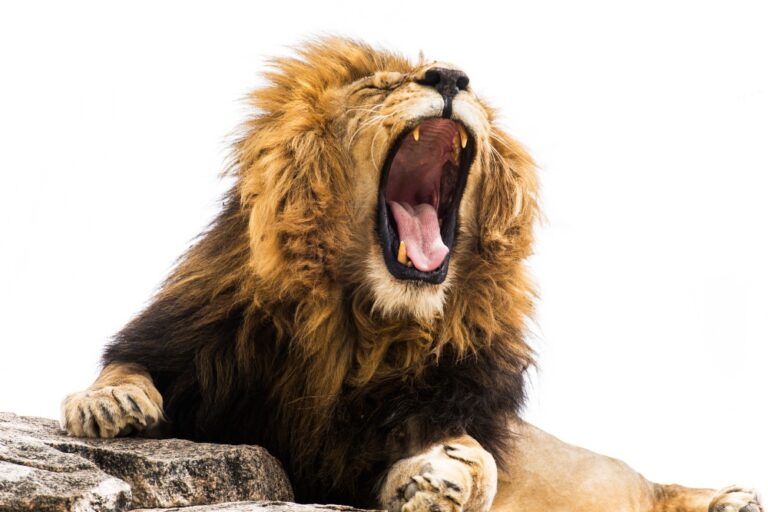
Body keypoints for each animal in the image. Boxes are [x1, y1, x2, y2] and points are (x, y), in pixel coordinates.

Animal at [61, 38, 761, 512]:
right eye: (378, 88)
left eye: (469, 87)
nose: (450, 76)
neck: (363, 320)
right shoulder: (197, 342)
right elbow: (128, 363)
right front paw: (110, 403)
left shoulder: (438, 404)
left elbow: (473, 457)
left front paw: (449, 475)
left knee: (652, 485)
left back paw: (729, 496)